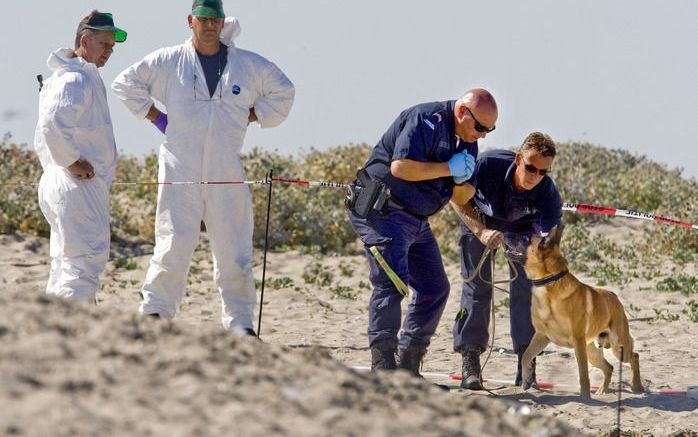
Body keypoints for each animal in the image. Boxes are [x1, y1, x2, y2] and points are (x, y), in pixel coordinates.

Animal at [520, 227, 640, 396]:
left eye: (527, 239)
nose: (507, 235)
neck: (550, 283)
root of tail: (614, 295)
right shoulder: (542, 336)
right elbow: (526, 356)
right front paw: (526, 381)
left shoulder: (577, 342)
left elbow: (583, 375)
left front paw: (585, 397)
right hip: (592, 351)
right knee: (609, 368)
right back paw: (602, 391)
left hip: (617, 346)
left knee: (634, 357)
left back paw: (637, 386)